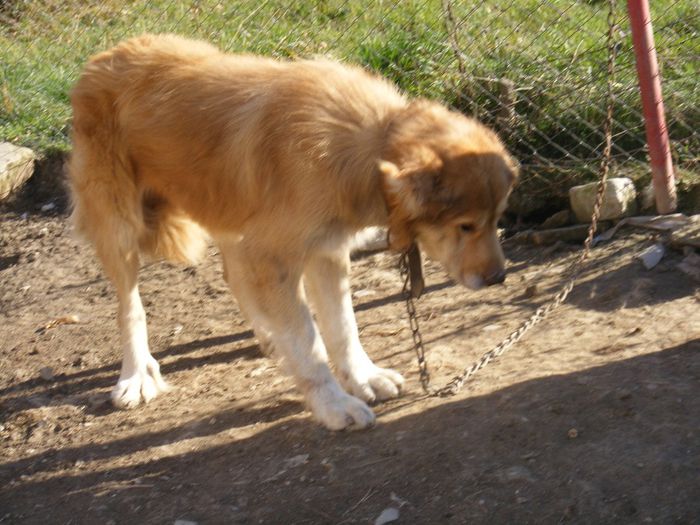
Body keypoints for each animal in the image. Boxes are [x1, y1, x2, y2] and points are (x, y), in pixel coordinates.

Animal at [69, 33, 520, 430]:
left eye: (498, 217)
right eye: (466, 225)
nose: (499, 278)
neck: (370, 144)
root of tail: (102, 58)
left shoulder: (324, 253)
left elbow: (342, 328)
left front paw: (363, 377)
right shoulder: (274, 258)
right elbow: (309, 341)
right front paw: (334, 405)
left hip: (231, 216)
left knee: (234, 276)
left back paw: (268, 333)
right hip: (121, 226)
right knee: (130, 306)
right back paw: (135, 376)